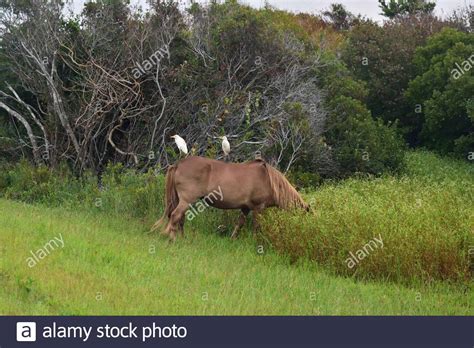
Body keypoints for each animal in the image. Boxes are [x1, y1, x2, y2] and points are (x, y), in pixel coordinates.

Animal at [150, 156, 310, 241]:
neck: (268, 180)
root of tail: (179, 164)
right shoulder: (258, 208)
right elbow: (257, 227)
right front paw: (256, 242)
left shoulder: (245, 208)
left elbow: (239, 224)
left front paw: (233, 239)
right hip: (186, 200)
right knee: (176, 216)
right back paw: (172, 239)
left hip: (182, 200)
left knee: (180, 218)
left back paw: (182, 238)